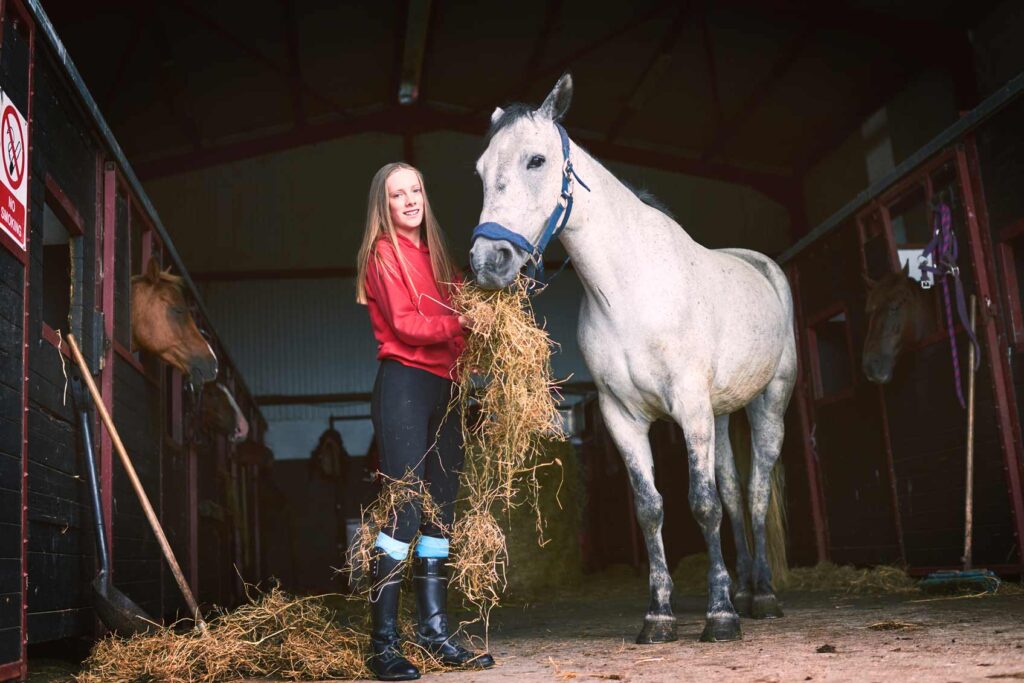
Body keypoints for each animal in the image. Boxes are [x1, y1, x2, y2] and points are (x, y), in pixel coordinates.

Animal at [471, 76, 798, 647]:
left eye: (536, 160)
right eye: (481, 169)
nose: (489, 261)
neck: (629, 288)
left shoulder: (689, 407)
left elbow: (702, 504)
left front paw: (718, 617)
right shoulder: (622, 417)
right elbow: (652, 509)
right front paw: (659, 615)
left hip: (769, 403)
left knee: (755, 490)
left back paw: (761, 596)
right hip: (720, 415)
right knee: (736, 492)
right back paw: (743, 589)